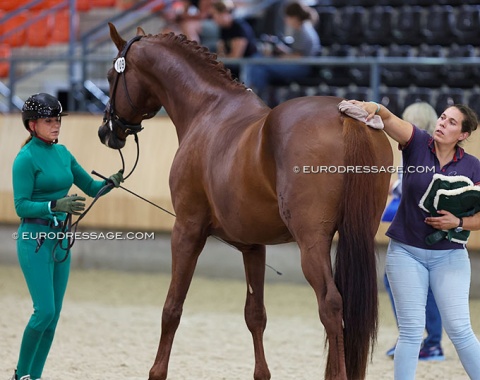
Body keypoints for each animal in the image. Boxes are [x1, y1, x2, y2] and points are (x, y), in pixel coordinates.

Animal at [97, 22, 394, 378]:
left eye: (111, 77)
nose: (105, 131)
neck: (208, 110)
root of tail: (346, 115)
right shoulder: (253, 246)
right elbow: (255, 315)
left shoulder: (187, 230)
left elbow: (172, 307)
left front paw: (157, 371)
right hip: (359, 233)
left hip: (312, 242)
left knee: (331, 305)